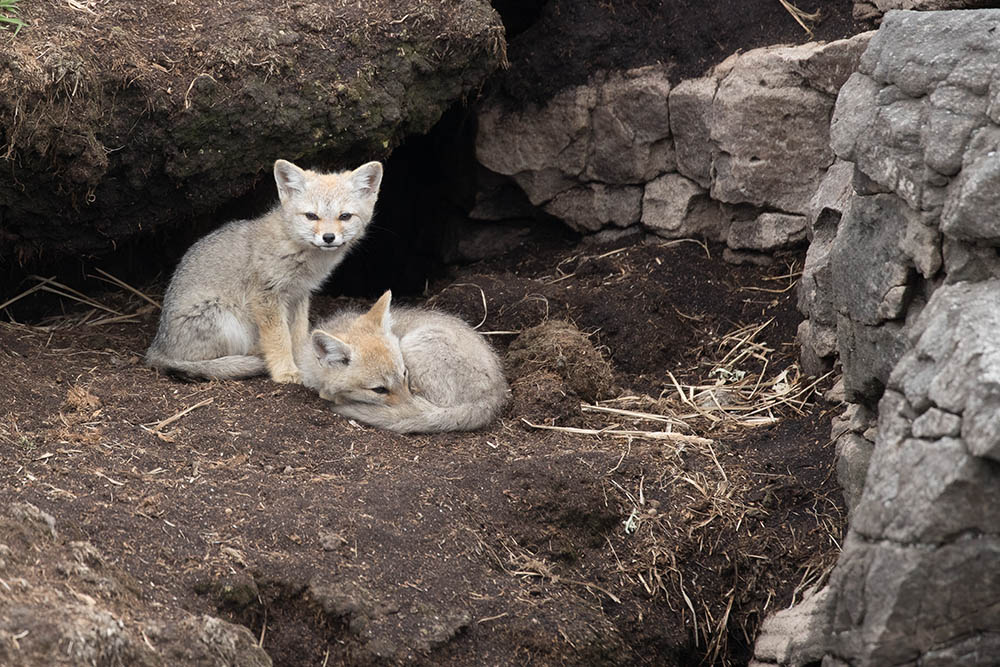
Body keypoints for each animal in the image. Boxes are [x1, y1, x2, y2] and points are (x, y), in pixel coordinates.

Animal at [145, 159, 382, 384]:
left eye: (345, 216)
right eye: (311, 216)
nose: (329, 237)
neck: (294, 246)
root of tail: (156, 348)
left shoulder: (299, 295)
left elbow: (298, 333)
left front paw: (302, 361)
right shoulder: (266, 296)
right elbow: (280, 338)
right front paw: (285, 371)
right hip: (226, 320)